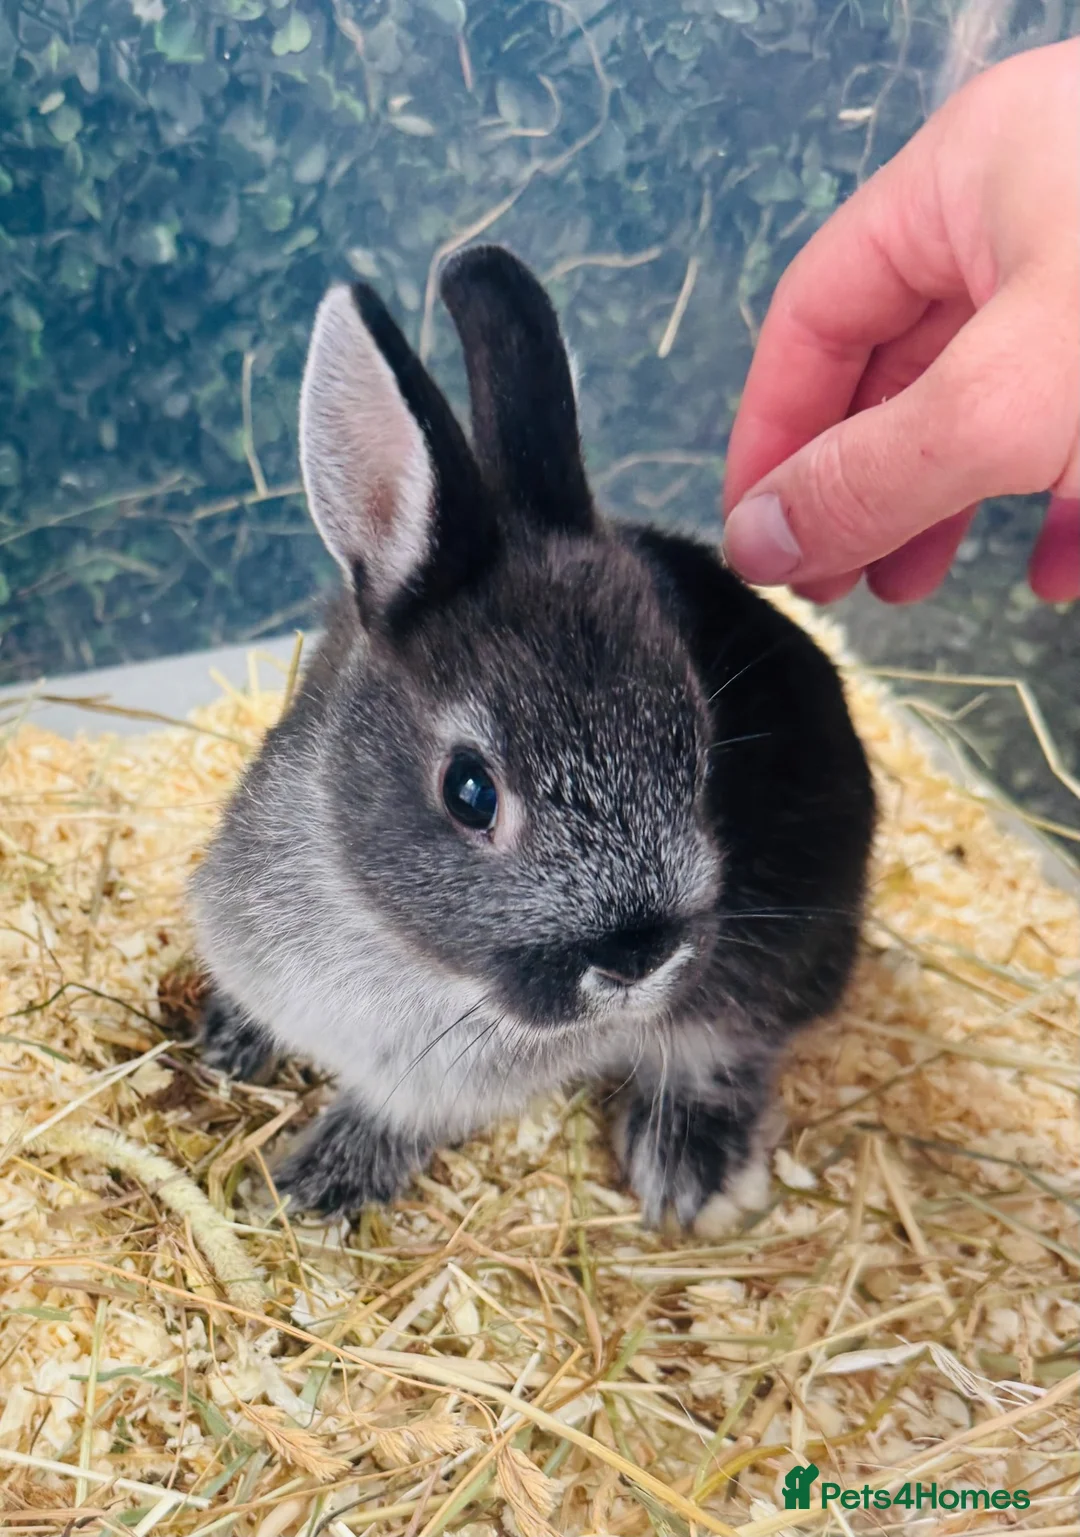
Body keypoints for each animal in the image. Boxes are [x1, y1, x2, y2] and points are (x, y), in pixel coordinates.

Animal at [189, 245, 875, 1234]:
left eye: (699, 755)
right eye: (470, 791)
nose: (637, 960)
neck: (387, 932)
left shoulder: (434, 1086)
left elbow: (391, 1118)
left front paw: (310, 1189)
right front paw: (226, 1038)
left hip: (774, 964)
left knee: (728, 1054)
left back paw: (690, 1173)